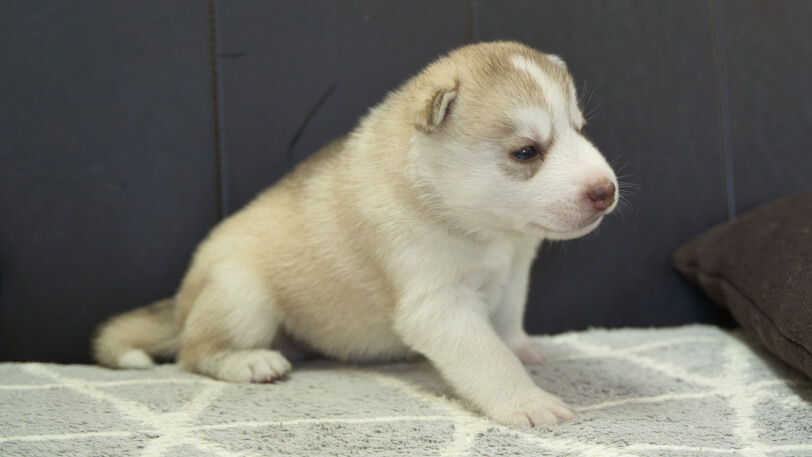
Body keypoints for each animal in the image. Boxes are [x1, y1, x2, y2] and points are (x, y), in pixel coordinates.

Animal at [93, 41, 616, 426]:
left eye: (580, 129)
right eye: (526, 152)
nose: (606, 191)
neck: (480, 228)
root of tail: (181, 303)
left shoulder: (514, 270)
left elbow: (506, 319)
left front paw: (522, 347)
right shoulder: (437, 305)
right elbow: (488, 356)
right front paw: (526, 402)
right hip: (242, 296)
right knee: (192, 352)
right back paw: (248, 362)